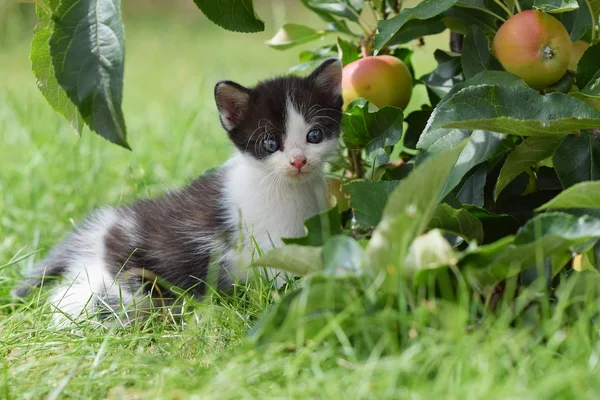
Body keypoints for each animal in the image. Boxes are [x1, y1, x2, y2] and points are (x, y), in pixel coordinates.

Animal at [12, 57, 342, 326]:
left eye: (314, 135)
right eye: (270, 143)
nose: (298, 161)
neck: (286, 189)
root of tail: (103, 229)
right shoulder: (268, 242)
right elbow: (285, 275)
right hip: (129, 277)